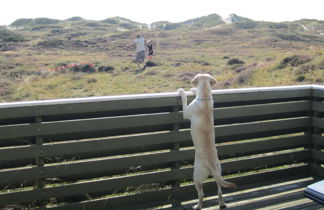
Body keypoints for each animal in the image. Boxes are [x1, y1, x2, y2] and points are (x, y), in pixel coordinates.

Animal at [177, 73, 235, 208]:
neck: (205, 99)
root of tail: (211, 164)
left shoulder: (186, 112)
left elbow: (184, 100)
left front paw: (182, 91)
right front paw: (193, 90)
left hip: (197, 176)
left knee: (201, 194)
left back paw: (198, 206)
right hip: (218, 172)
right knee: (219, 191)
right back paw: (221, 203)